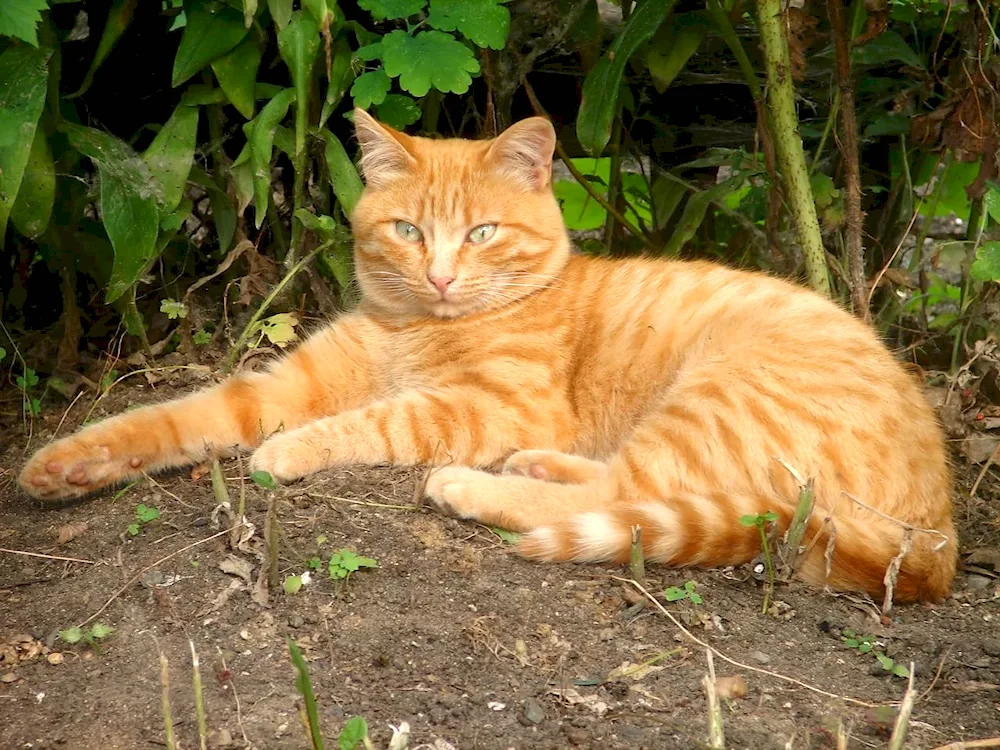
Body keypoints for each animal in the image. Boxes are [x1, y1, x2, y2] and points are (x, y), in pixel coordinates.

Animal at [13, 110, 952, 604]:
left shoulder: (492, 404)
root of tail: (940, 536)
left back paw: (473, 486)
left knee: (623, 498)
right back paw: (536, 467)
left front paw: (291, 451)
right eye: (406, 230)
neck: (416, 327)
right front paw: (69, 465)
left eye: (481, 233)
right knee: (620, 485)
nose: (439, 273)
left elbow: (378, 419)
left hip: (713, 398)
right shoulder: (287, 383)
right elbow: (179, 417)